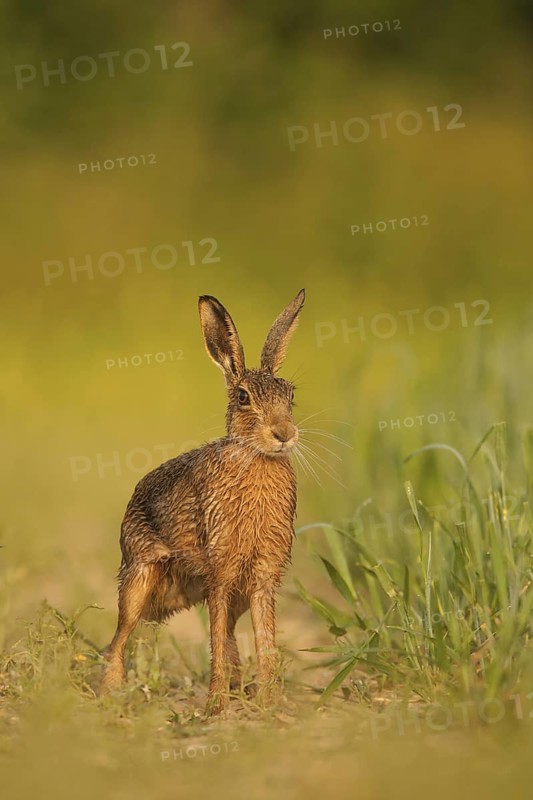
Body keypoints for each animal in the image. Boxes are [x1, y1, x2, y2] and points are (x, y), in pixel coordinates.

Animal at [101, 289, 306, 714]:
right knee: (120, 636)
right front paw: (215, 708)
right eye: (243, 397)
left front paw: (270, 703)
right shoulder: (221, 571)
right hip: (140, 576)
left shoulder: (262, 576)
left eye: (291, 395)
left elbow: (264, 641)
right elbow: (215, 640)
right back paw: (111, 695)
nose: (284, 433)